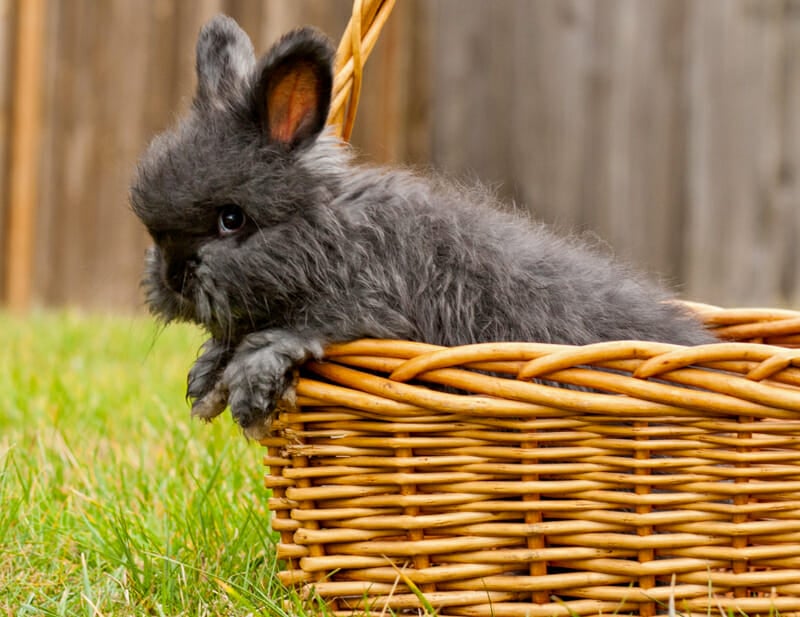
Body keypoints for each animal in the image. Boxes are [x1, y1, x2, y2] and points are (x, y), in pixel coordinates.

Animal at [130, 15, 712, 438]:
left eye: (232, 219)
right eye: (154, 235)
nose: (175, 276)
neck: (330, 239)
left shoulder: (368, 308)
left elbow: (297, 334)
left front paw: (248, 389)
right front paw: (205, 378)